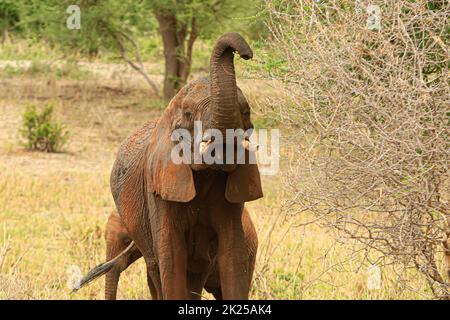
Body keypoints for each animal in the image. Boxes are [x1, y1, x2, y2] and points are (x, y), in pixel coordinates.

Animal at [75, 32, 262, 300]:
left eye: (246, 114)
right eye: (189, 115)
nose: (246, 53)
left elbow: (232, 252)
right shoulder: (158, 189)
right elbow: (171, 256)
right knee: (158, 266)